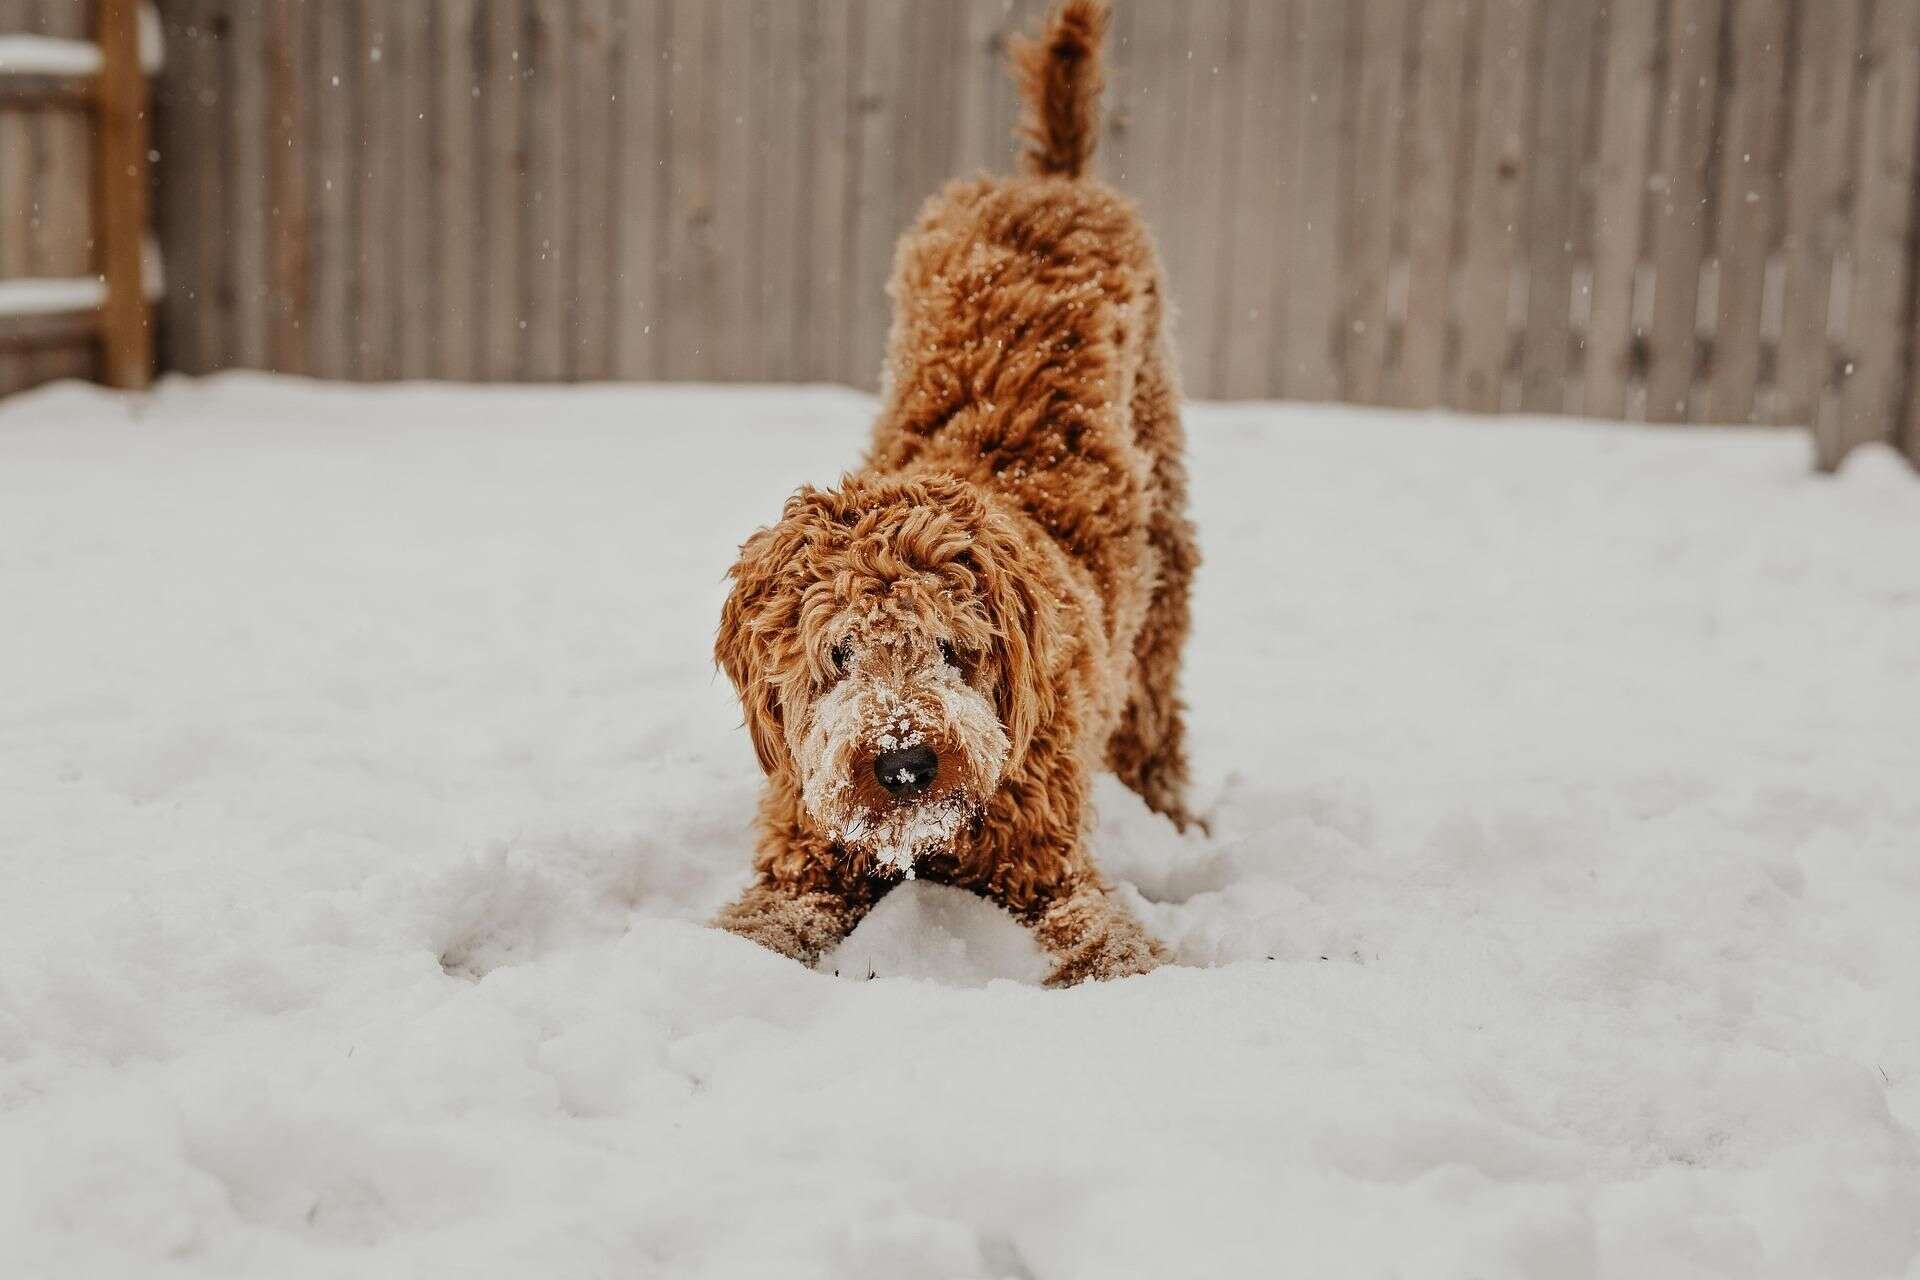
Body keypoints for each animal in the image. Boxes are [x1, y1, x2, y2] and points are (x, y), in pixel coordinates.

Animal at [721, 0, 1198, 990]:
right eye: (838, 654)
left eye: (953, 647)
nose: (905, 762)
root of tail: (1047, 181)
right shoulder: (804, 853)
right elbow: (760, 924)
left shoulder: (1049, 862)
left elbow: (1105, 941)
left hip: (1166, 541)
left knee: (1155, 703)